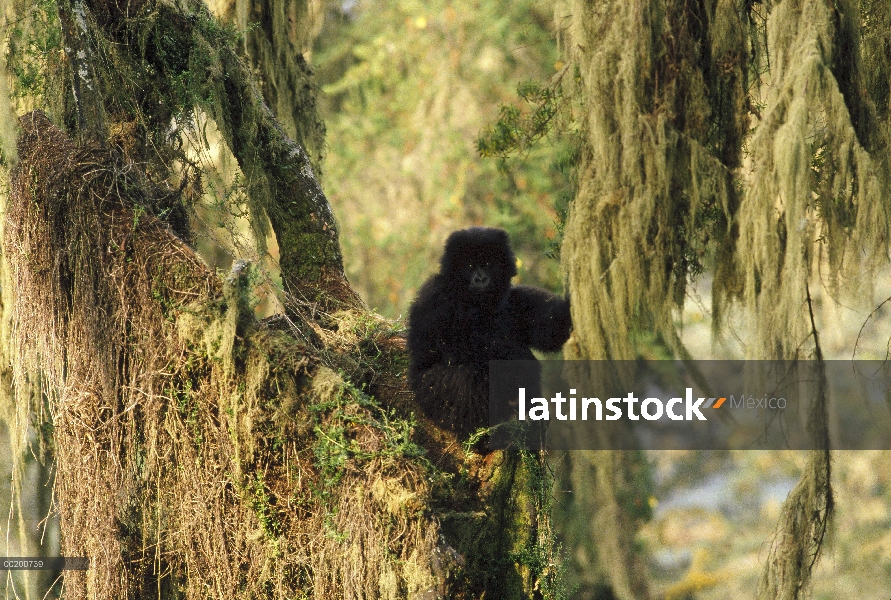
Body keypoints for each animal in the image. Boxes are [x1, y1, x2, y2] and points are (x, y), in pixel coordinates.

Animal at [410, 227, 576, 438]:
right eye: (470, 266)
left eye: (489, 264)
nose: (480, 278)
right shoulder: (435, 297)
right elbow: (450, 349)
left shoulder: (514, 299)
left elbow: (549, 330)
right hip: (431, 400)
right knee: (467, 372)